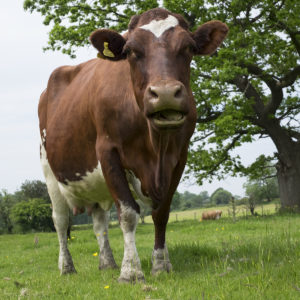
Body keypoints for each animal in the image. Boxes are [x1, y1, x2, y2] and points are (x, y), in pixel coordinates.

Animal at [38, 7, 229, 284]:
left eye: (189, 48)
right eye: (130, 51)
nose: (165, 93)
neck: (155, 150)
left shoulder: (179, 158)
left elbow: (162, 213)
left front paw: (161, 264)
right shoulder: (108, 153)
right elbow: (128, 214)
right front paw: (131, 272)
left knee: (99, 221)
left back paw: (107, 263)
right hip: (50, 172)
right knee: (60, 220)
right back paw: (67, 267)